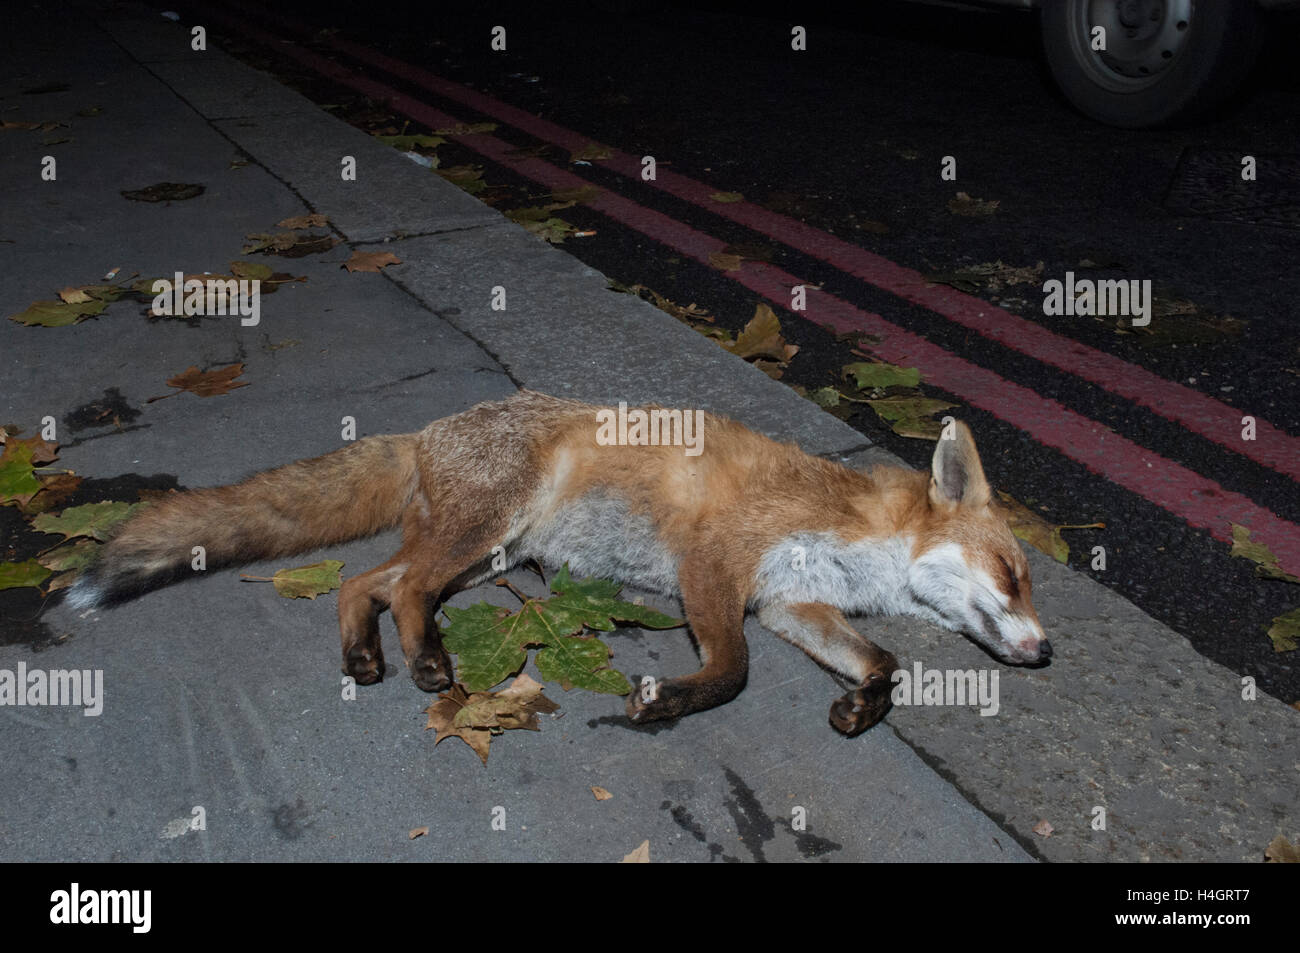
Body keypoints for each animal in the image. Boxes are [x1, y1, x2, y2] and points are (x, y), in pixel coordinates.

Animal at [68, 390, 1045, 733]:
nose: (1043, 651)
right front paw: (667, 702)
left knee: (364, 581)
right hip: (484, 534)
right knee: (403, 586)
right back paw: (427, 658)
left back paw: (369, 652)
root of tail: (430, 429)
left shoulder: (788, 602)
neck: (852, 533)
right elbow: (732, 671)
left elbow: (885, 662)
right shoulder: (714, 565)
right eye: (1011, 573)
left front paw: (863, 706)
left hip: (484, 550)